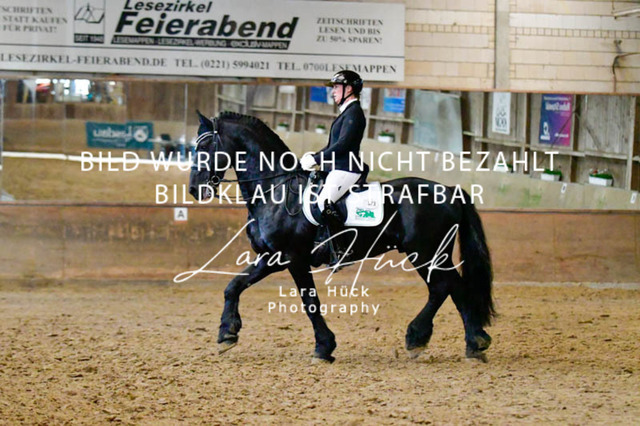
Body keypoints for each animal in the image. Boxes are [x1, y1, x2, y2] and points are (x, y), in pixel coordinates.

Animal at [188, 110, 495, 363]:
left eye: (203, 147)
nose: (194, 189)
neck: (275, 190)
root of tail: (451, 190)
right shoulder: (270, 257)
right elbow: (234, 286)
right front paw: (227, 335)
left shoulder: (290, 258)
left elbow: (310, 302)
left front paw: (323, 348)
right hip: (431, 254)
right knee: (454, 288)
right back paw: (474, 344)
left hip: (425, 253)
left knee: (443, 287)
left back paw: (421, 338)